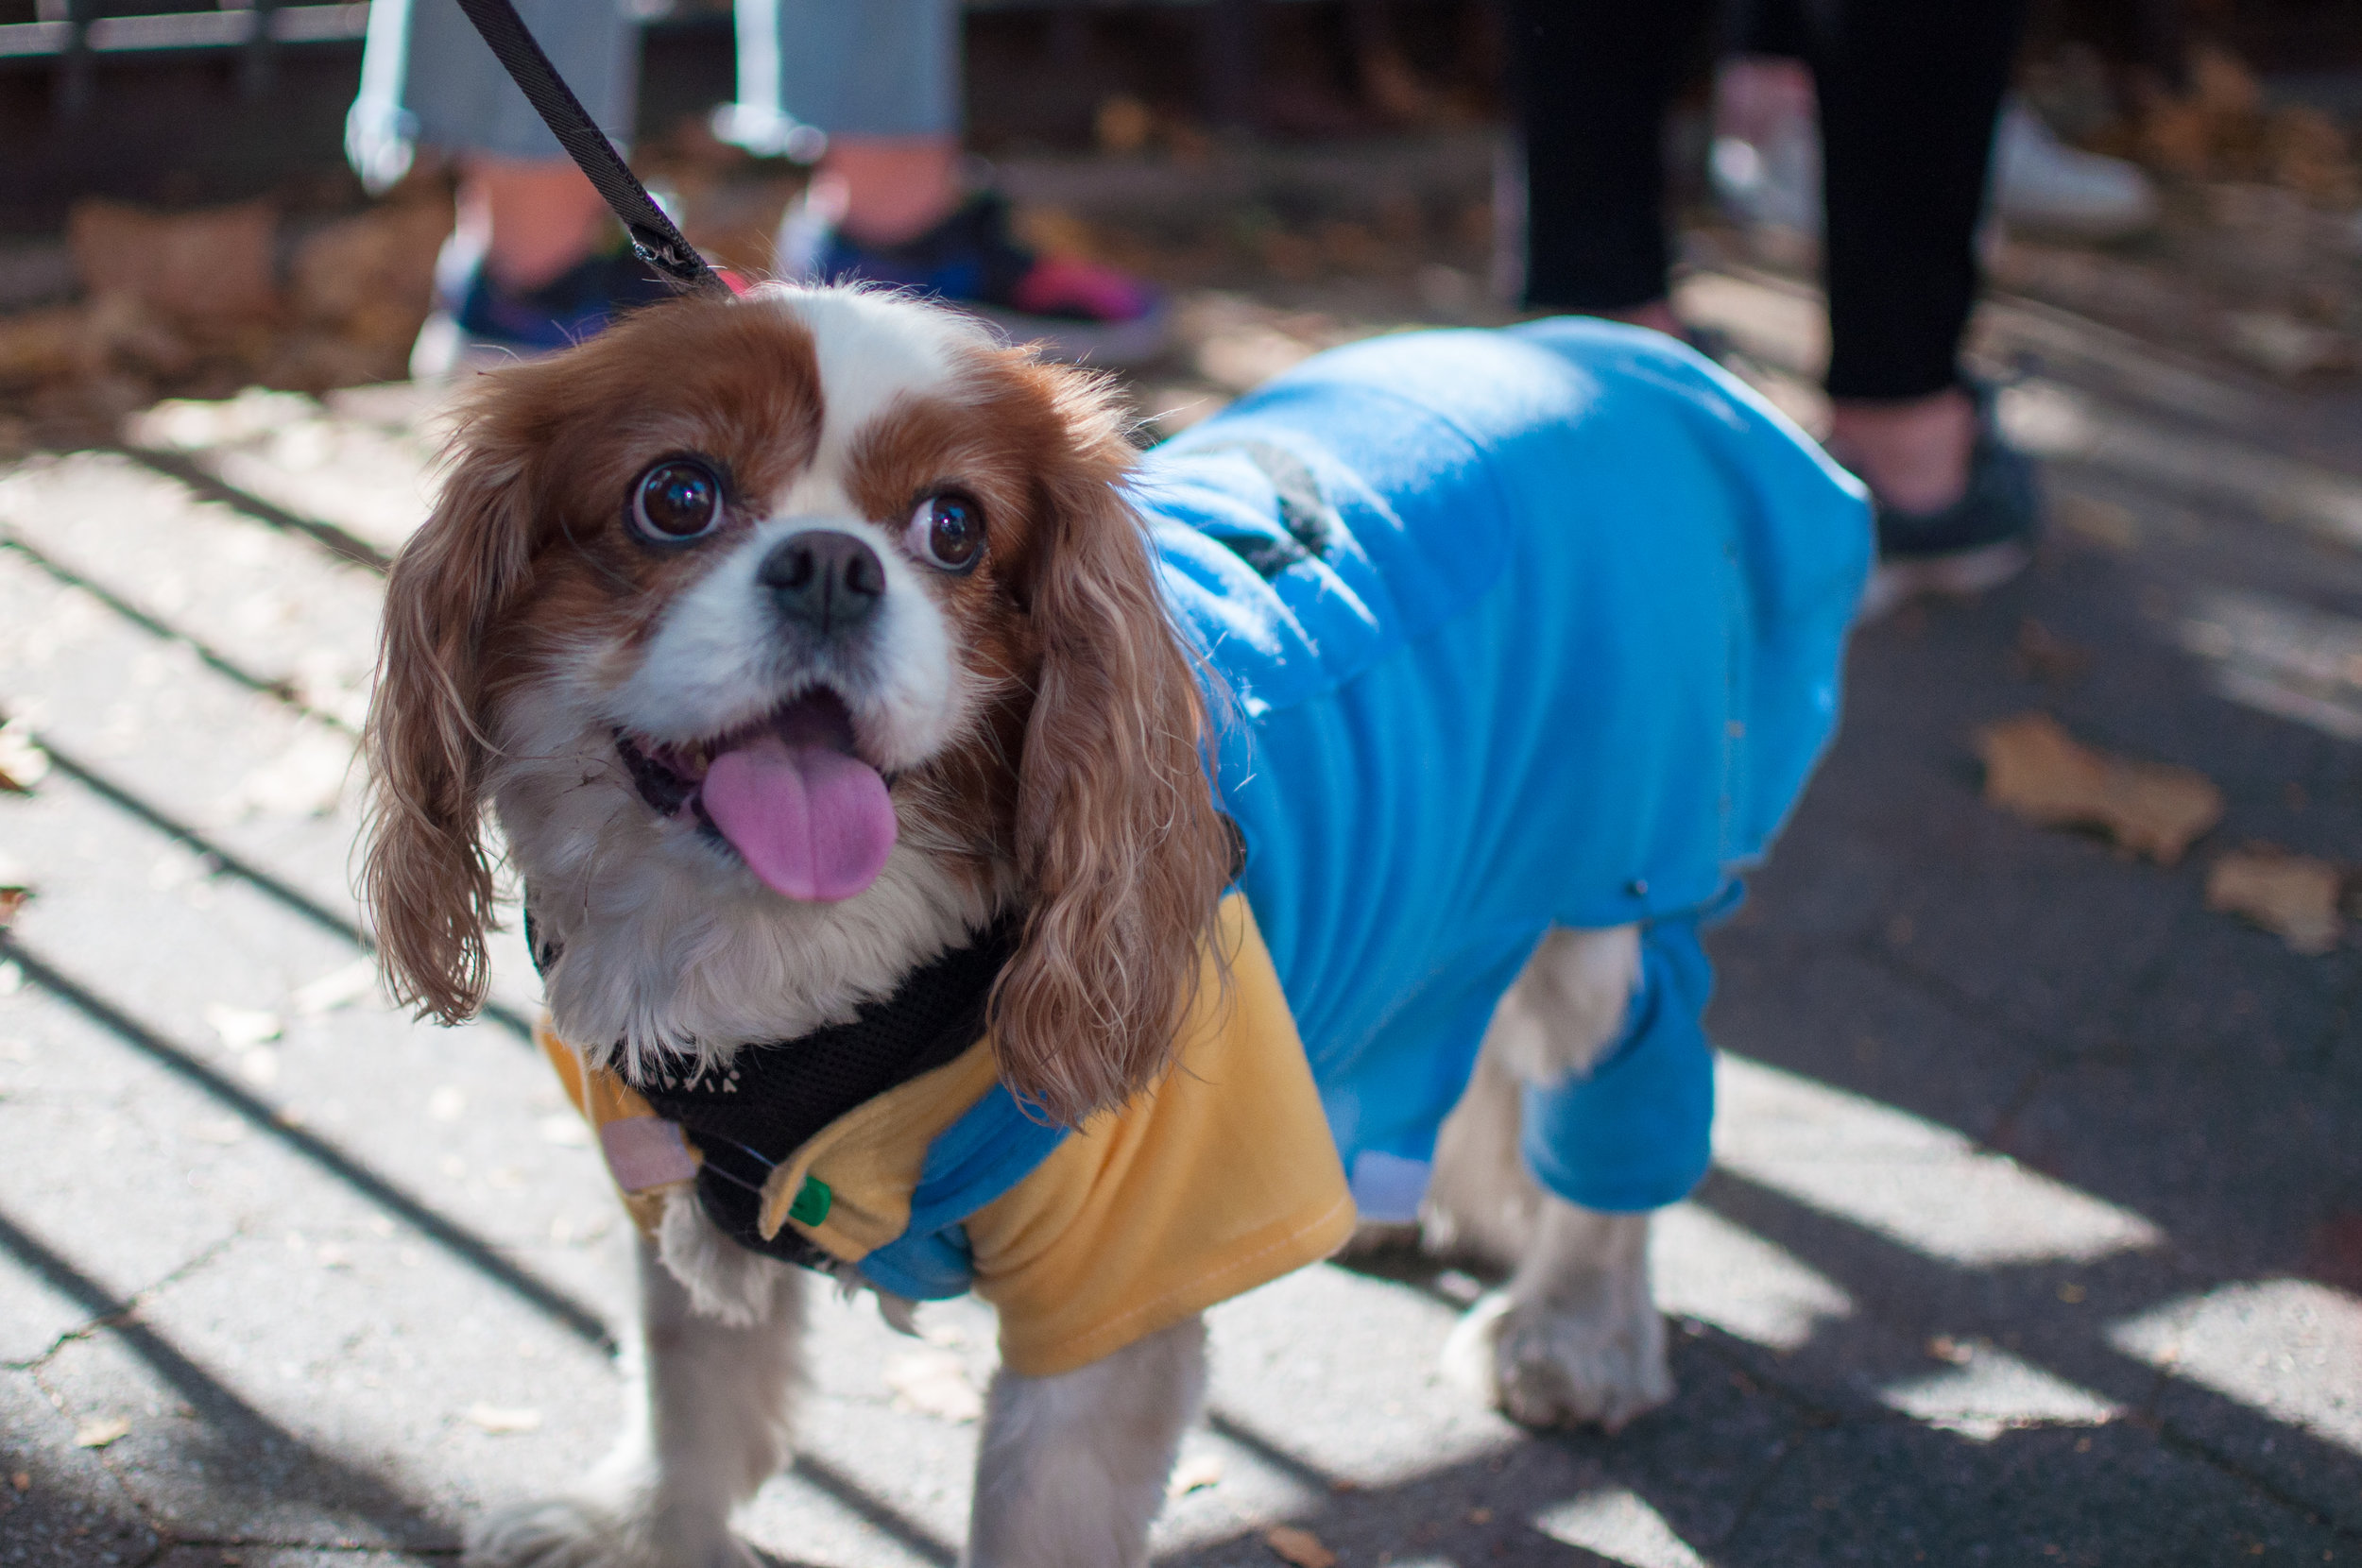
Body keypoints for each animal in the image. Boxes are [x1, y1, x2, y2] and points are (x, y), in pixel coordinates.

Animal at [364, 284, 1701, 1568]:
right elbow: (689, 1383)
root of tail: (1599, 346)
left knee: (1615, 1111)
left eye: (953, 528)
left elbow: (1035, 1513)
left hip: (1609, 900)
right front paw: (641, 1533)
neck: (810, 980)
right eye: (675, 497)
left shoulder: (1121, 1279)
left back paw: (1570, 1333)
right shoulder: (667, 1173)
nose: (831, 566)